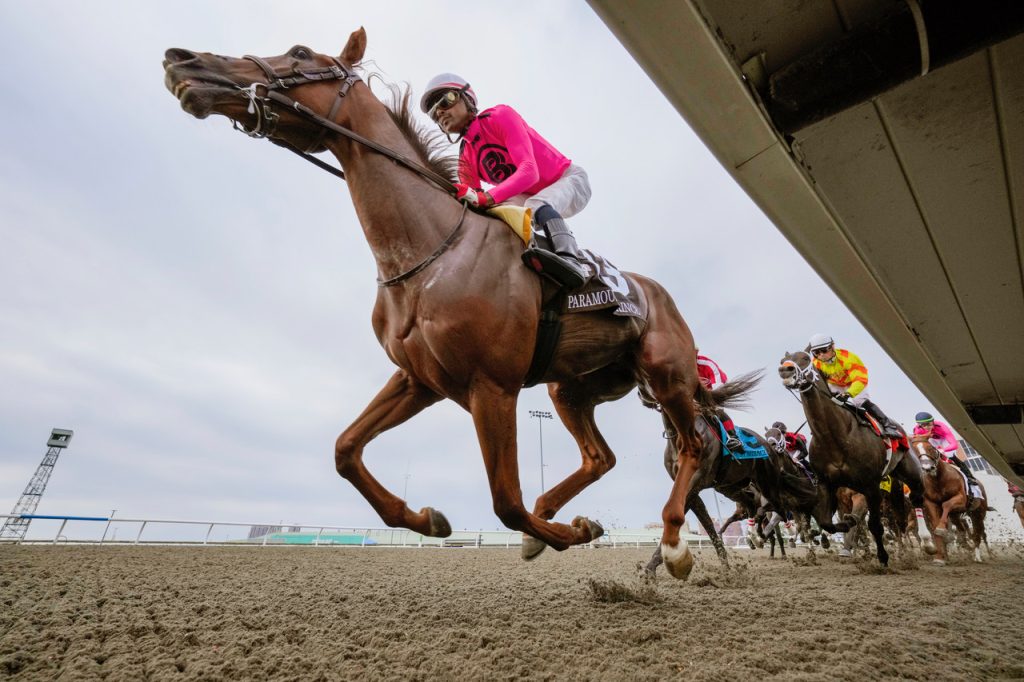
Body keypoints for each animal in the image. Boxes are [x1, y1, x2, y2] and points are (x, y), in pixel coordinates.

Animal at [161, 29, 729, 577]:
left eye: (299, 52)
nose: (182, 60)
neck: (430, 250)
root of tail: (658, 293)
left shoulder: (492, 386)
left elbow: (505, 501)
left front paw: (571, 533)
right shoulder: (420, 379)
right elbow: (345, 450)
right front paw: (429, 519)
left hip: (666, 373)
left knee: (691, 446)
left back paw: (673, 544)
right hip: (571, 387)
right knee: (599, 458)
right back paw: (554, 519)